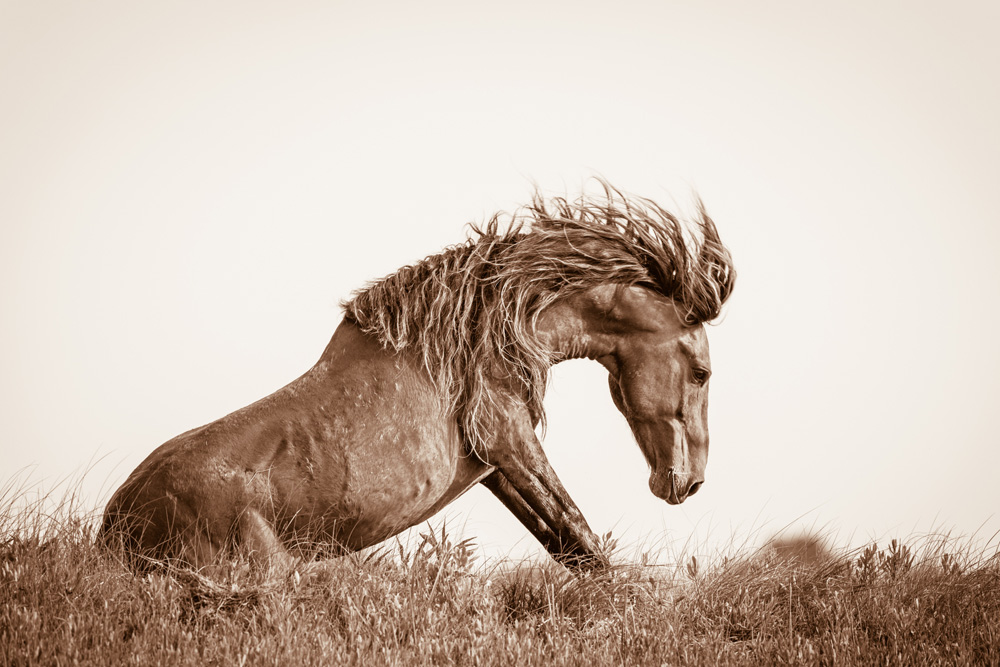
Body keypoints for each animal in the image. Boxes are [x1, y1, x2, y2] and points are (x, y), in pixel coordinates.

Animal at [99, 183, 736, 568]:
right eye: (701, 373)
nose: (689, 483)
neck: (480, 336)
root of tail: (115, 525)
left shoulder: (493, 467)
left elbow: (568, 547)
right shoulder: (509, 439)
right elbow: (581, 538)